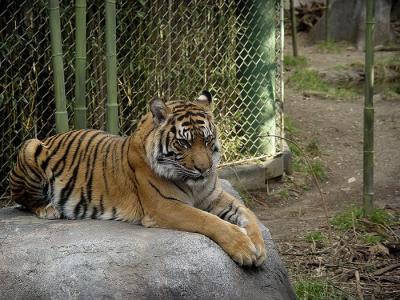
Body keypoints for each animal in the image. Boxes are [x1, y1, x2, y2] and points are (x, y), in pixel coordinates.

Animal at [9, 90, 266, 266]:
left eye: (208, 139)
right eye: (184, 143)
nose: (204, 169)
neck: (195, 186)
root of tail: (52, 136)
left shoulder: (215, 197)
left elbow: (248, 214)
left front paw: (259, 247)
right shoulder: (165, 206)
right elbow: (208, 220)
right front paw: (244, 248)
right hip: (30, 146)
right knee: (22, 200)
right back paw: (48, 209)